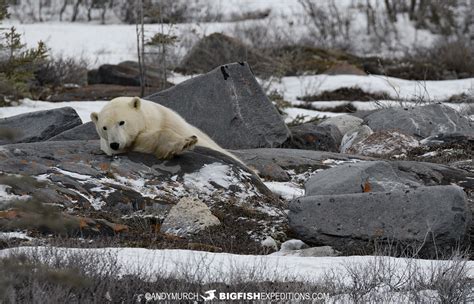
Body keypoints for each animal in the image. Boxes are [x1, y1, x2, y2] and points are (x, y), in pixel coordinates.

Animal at [91, 97, 243, 163]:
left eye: (121, 122)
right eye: (104, 127)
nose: (114, 144)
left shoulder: (168, 118)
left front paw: (187, 141)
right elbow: (145, 141)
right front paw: (182, 144)